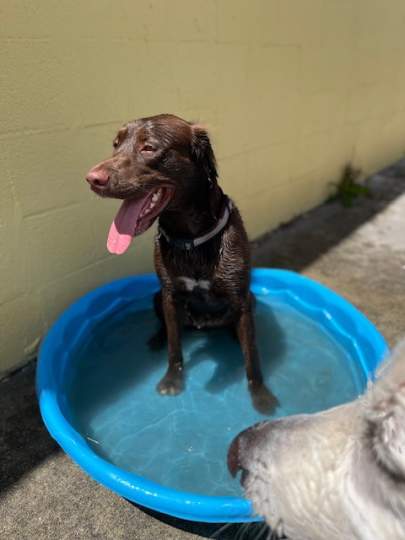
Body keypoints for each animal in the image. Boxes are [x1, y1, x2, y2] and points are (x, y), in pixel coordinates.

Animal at [85, 112, 274, 412]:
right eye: (115, 144)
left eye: (148, 147)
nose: (92, 179)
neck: (190, 238)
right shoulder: (169, 296)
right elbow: (175, 347)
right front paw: (172, 380)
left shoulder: (241, 299)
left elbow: (252, 356)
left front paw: (260, 395)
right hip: (156, 297)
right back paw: (156, 339)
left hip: (250, 300)